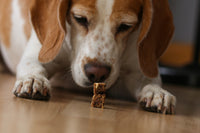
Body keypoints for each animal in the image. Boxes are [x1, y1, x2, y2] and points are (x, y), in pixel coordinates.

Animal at [0, 0, 176, 114]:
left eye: (125, 26)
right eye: (80, 19)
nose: (97, 73)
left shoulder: (138, 70)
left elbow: (149, 82)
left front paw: (156, 92)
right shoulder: (39, 53)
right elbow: (32, 66)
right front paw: (33, 80)